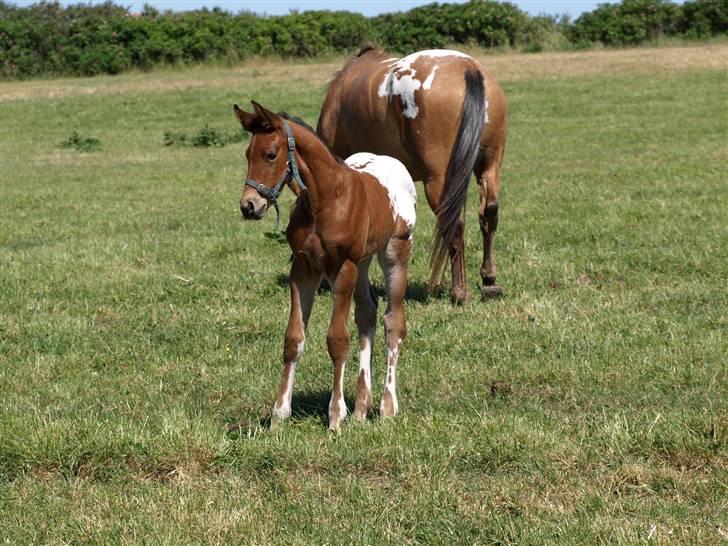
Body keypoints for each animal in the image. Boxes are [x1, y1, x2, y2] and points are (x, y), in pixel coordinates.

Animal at [233, 101, 416, 430]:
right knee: (367, 313)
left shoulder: (342, 268)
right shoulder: (303, 269)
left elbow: (337, 339)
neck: (326, 199)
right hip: (363, 262)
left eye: (271, 154)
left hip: (395, 251)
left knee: (393, 322)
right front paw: (279, 416)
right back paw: (361, 408)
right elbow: (293, 339)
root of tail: (393, 162)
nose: (249, 206)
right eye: (247, 154)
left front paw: (335, 416)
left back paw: (386, 407)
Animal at [318, 46, 506, 302]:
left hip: (439, 182)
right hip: (489, 168)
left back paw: (459, 291)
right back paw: (489, 281)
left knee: (454, 225)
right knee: (489, 214)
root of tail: (470, 69)